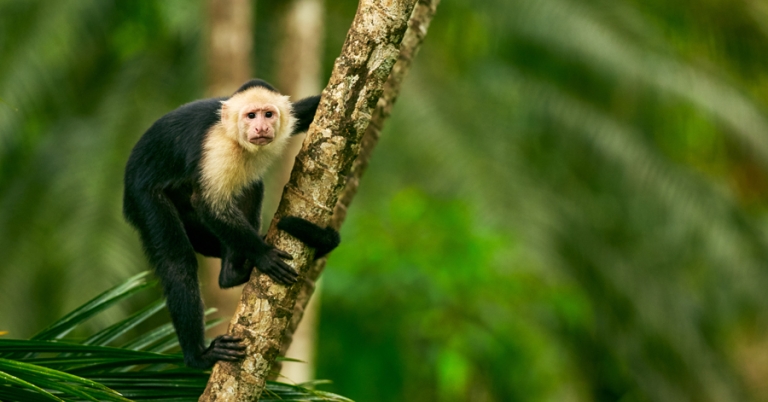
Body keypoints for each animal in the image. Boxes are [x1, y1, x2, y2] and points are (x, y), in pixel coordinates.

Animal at [122, 79, 339, 369]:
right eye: (251, 116)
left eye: (268, 114)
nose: (261, 127)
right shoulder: (217, 146)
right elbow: (209, 205)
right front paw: (263, 254)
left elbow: (309, 109)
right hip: (143, 196)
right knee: (178, 261)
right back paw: (198, 355)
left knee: (250, 183)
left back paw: (231, 273)